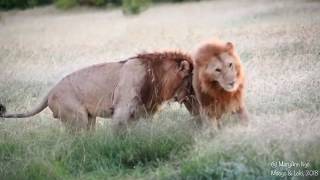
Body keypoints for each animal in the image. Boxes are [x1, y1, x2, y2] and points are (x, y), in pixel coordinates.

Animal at [0, 51, 194, 131]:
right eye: (190, 80)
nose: (192, 94)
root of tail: (50, 90)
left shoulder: (144, 112)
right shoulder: (122, 110)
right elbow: (120, 132)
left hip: (89, 119)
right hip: (77, 118)